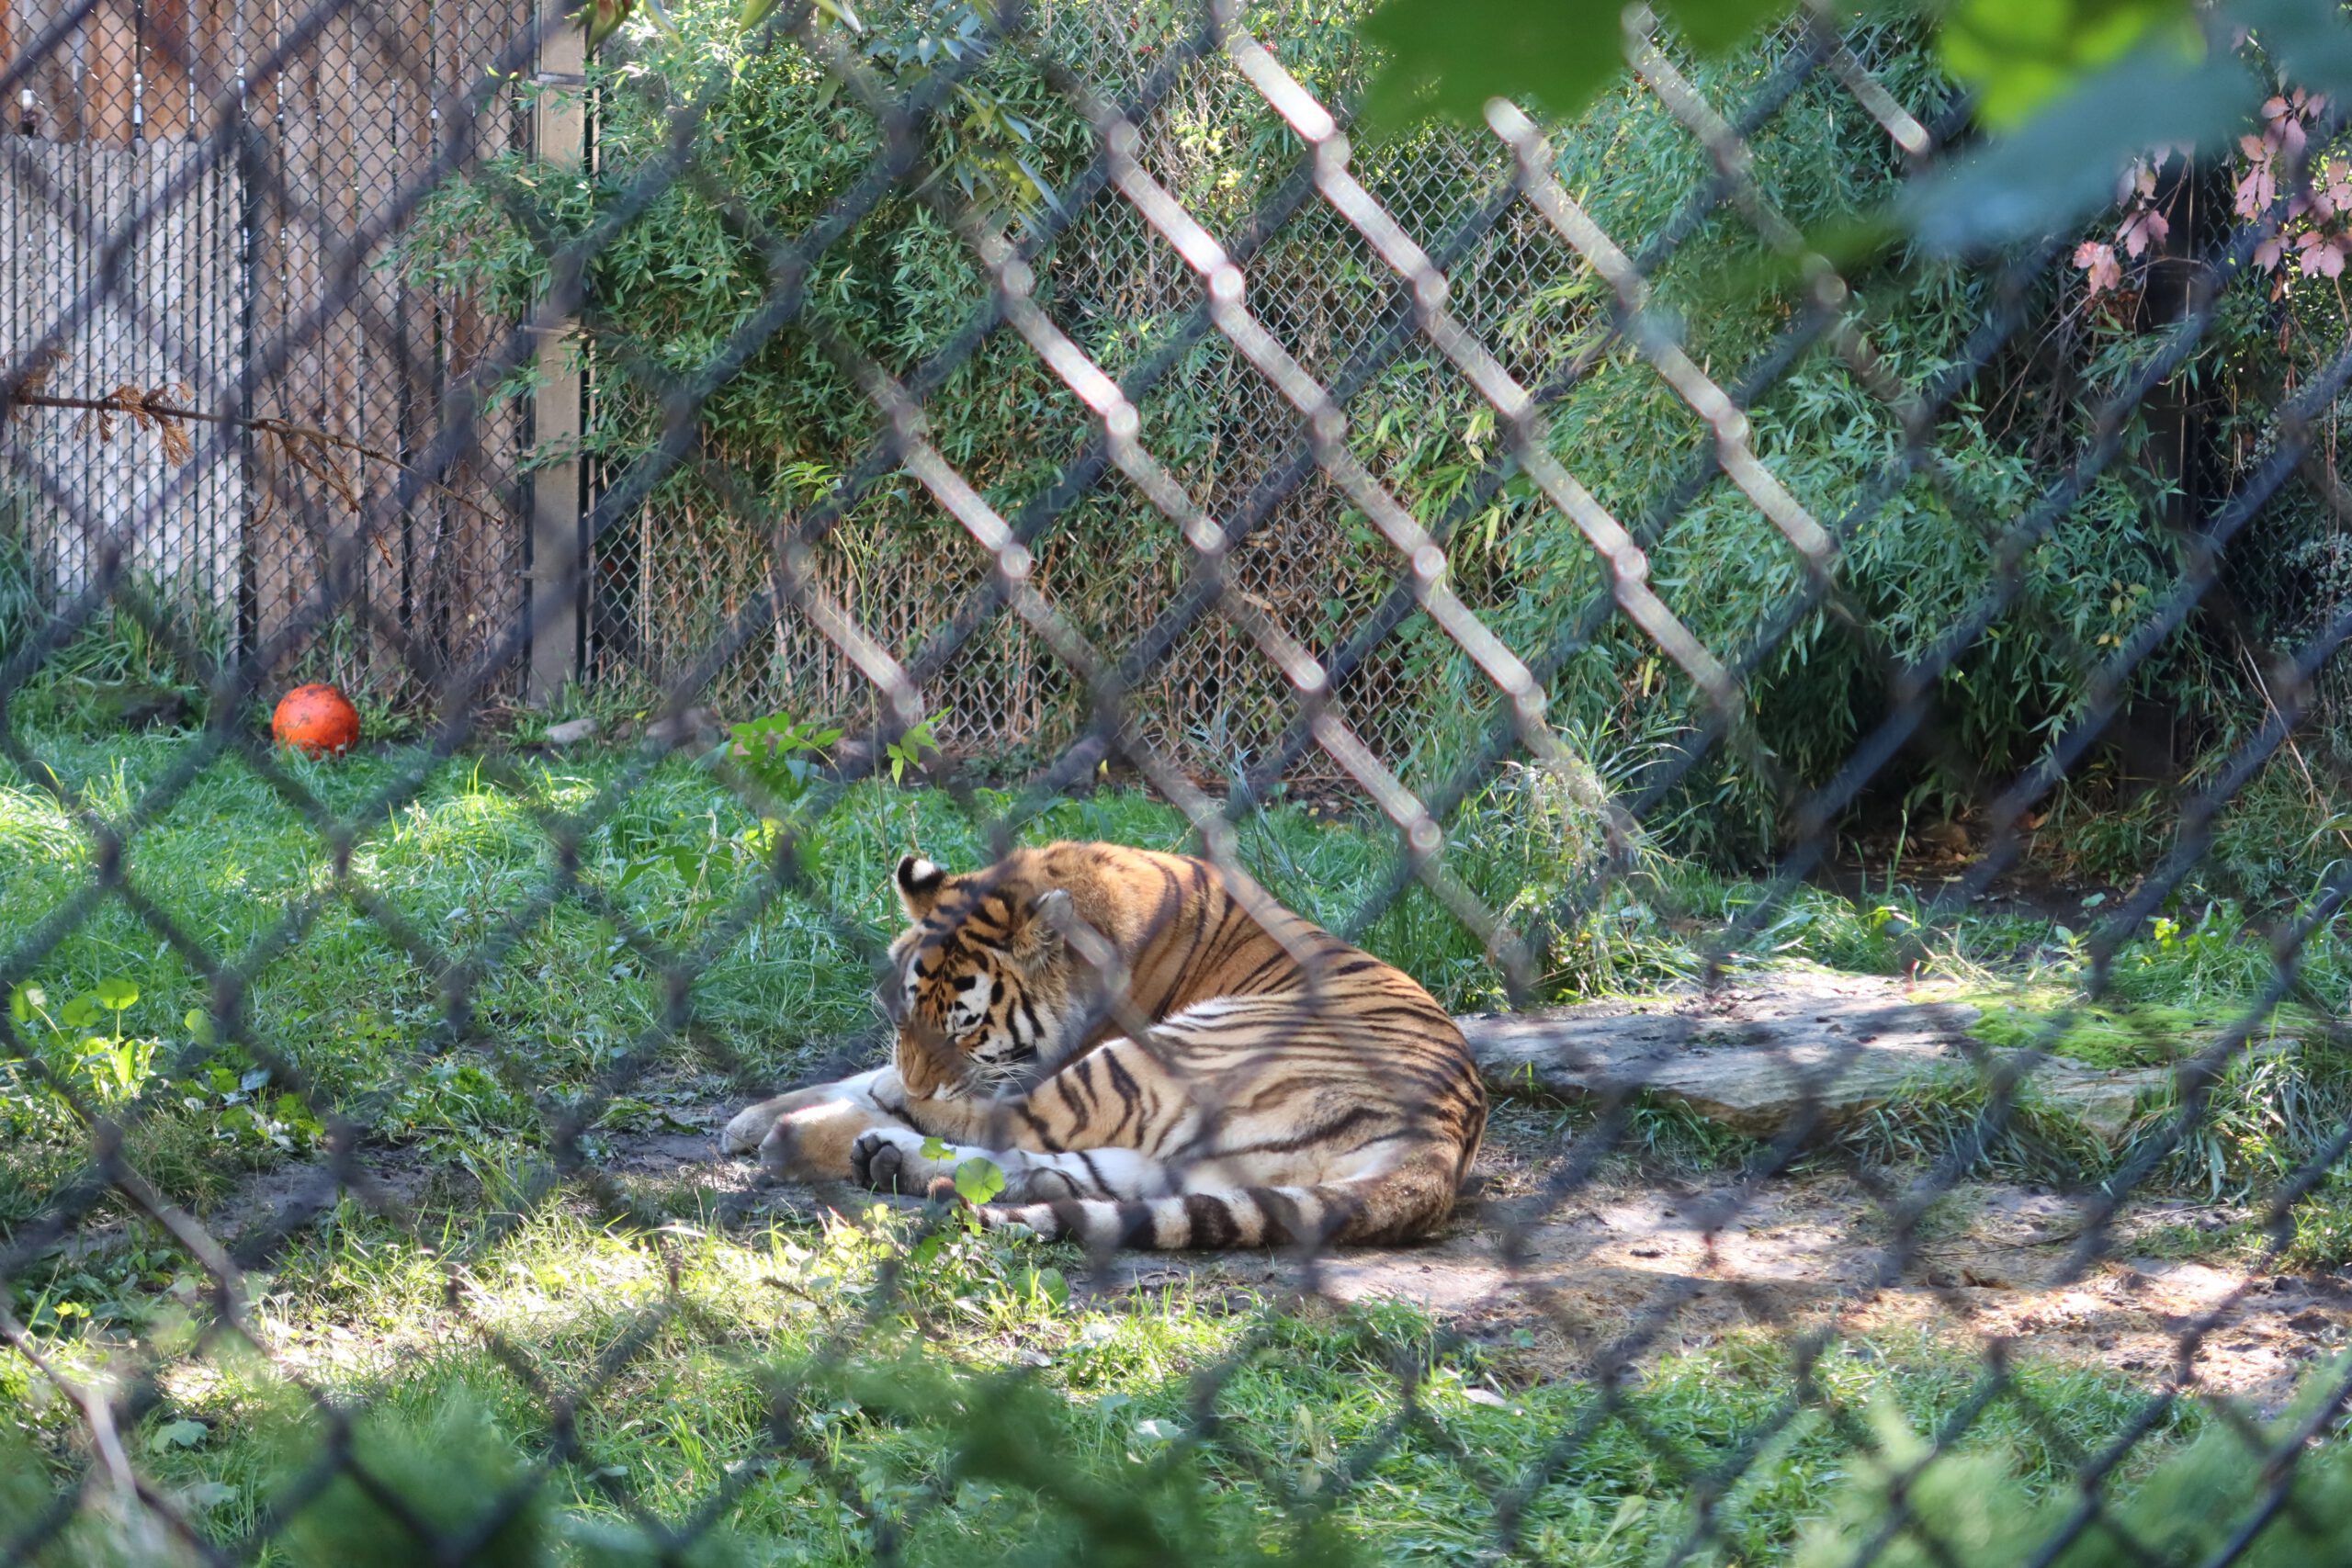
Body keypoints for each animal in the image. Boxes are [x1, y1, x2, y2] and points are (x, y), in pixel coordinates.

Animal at [718, 841, 1487, 1250]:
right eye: (904, 1011)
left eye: (966, 1026)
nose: (916, 1082)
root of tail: (1439, 1138)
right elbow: (860, 1071)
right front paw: (750, 1116)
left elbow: (920, 1087)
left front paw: (838, 1105)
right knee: (1080, 1175)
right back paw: (883, 1156)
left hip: (1167, 1050)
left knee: (1013, 1125)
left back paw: (818, 1140)